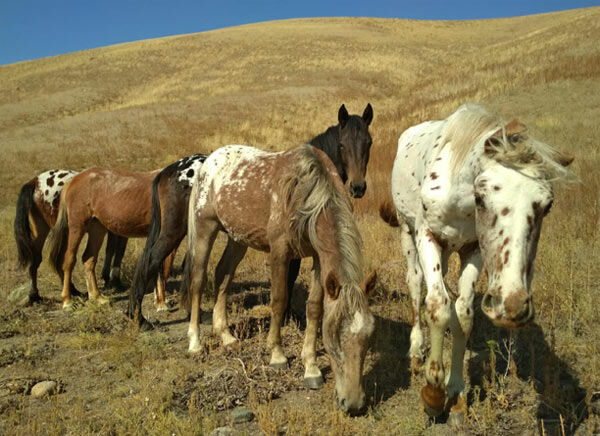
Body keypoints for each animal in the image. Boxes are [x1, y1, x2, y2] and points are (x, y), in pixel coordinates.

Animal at [14, 169, 127, 304]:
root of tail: (35, 181)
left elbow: (110, 250)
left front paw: (108, 278)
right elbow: (118, 252)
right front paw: (114, 279)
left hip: (42, 230)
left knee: (36, 260)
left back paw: (35, 295)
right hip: (65, 233)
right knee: (60, 260)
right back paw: (70, 292)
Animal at [129, 103, 372, 328]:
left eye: (368, 143)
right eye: (342, 144)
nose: (358, 187)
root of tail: (168, 171)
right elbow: (290, 276)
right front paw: (287, 317)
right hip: (174, 230)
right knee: (150, 261)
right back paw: (138, 317)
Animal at [182, 145, 376, 414]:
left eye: (368, 338)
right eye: (334, 338)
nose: (354, 404)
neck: (308, 193)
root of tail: (209, 161)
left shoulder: (318, 257)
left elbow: (314, 308)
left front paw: (311, 368)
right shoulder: (279, 252)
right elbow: (279, 300)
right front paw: (277, 355)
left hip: (237, 239)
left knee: (223, 277)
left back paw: (227, 337)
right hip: (204, 230)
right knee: (198, 282)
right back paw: (195, 343)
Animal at [382, 104, 576, 424]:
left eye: (547, 206)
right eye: (481, 197)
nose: (511, 306)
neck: (457, 196)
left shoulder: (473, 249)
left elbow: (463, 312)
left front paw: (457, 393)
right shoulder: (427, 235)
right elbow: (436, 304)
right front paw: (433, 394)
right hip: (407, 234)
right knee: (415, 286)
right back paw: (416, 350)